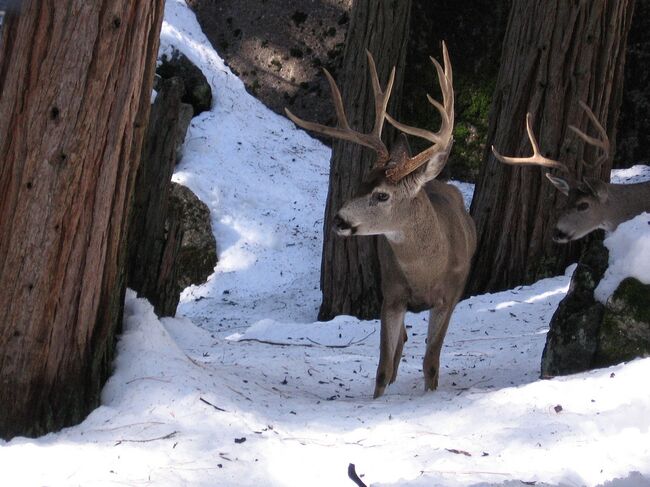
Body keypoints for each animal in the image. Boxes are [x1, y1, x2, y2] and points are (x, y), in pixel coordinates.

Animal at [286, 43, 474, 398]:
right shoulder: (392, 294)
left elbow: (431, 363)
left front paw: (430, 394)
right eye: (361, 182)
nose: (338, 219)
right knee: (400, 342)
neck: (427, 272)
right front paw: (378, 399)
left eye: (382, 195)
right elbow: (382, 368)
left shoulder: (451, 295)